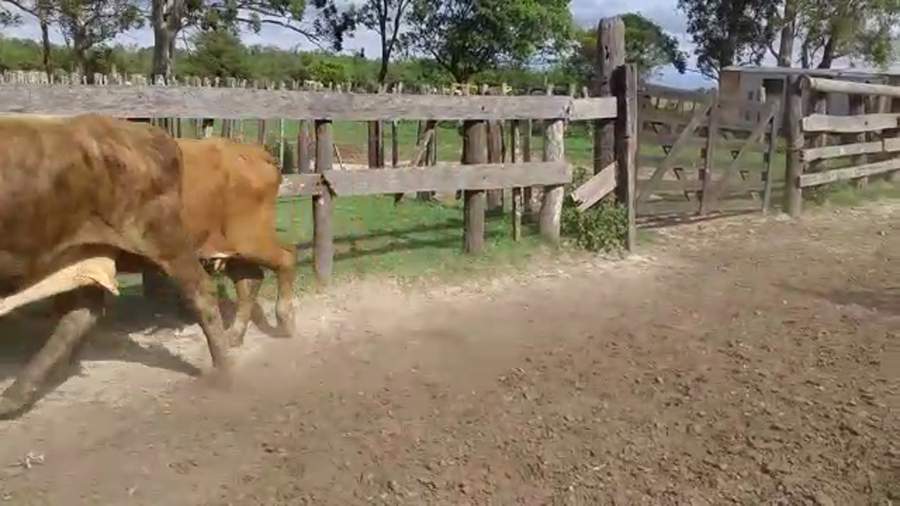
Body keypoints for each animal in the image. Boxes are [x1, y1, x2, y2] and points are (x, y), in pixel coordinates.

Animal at [0, 114, 232, 418]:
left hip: (160, 235)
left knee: (200, 289)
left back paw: (224, 374)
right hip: (84, 250)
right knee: (82, 314)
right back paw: (15, 395)